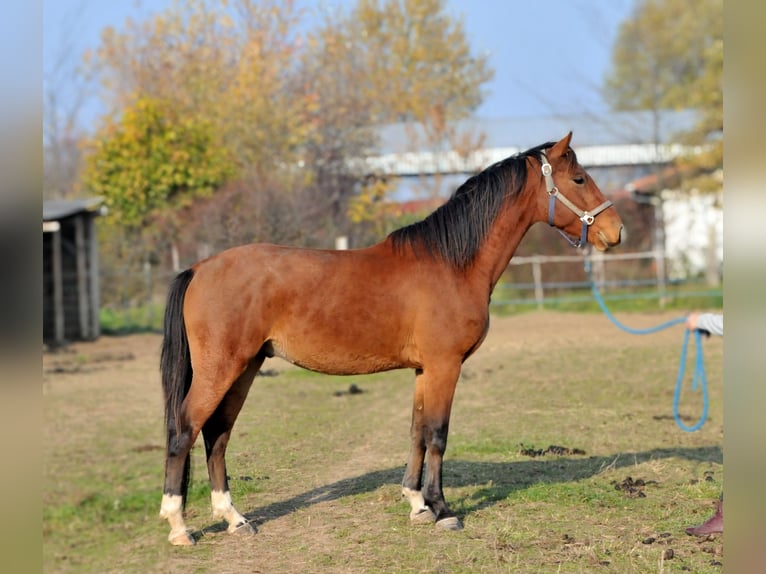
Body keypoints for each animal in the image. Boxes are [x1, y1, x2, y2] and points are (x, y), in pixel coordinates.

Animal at [160, 133, 624, 548]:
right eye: (579, 178)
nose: (616, 231)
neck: (452, 263)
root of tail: (200, 268)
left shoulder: (424, 370)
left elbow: (417, 431)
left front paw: (417, 504)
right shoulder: (444, 366)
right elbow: (437, 434)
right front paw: (443, 510)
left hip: (246, 368)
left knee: (217, 434)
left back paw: (234, 519)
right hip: (223, 369)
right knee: (184, 430)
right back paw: (180, 527)